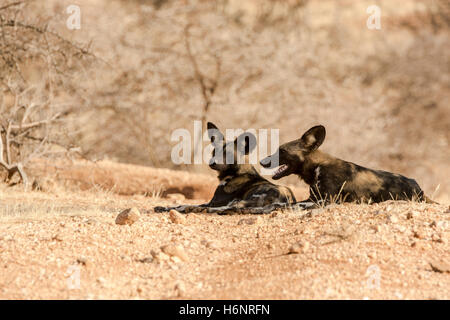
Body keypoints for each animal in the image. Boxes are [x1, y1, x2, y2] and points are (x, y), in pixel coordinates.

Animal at [154, 122, 296, 215]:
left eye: (228, 154)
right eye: (214, 151)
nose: (212, 163)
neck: (235, 173)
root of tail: (285, 198)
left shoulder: (213, 202)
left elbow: (182, 205)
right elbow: (180, 204)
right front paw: (162, 207)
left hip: (242, 200)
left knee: (232, 208)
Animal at [260, 125, 436, 205]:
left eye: (282, 151)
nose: (262, 161)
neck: (317, 166)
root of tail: (419, 188)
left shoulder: (325, 200)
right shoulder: (314, 197)